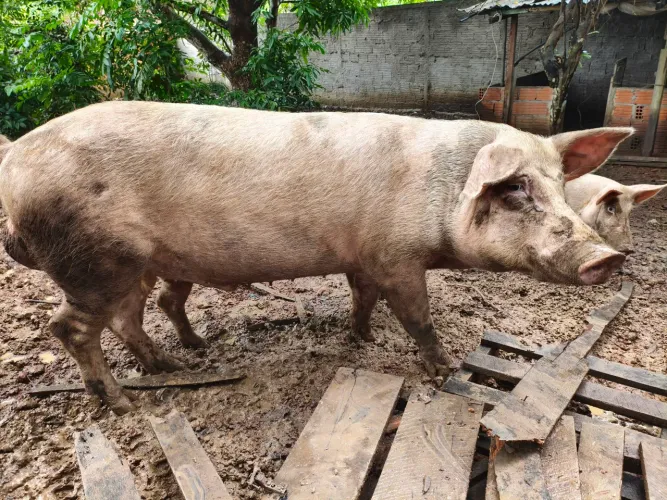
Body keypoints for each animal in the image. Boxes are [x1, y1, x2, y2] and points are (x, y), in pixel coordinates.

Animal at [0, 102, 631, 414]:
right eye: (516, 188)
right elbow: (417, 317)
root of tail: (15, 157)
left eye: (558, 183)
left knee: (132, 315)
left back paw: (178, 362)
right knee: (69, 326)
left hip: (134, 265)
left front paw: (362, 337)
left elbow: (363, 297)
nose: (608, 258)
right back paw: (126, 403)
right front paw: (445, 369)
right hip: (91, 261)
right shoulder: (398, 257)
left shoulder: (365, 256)